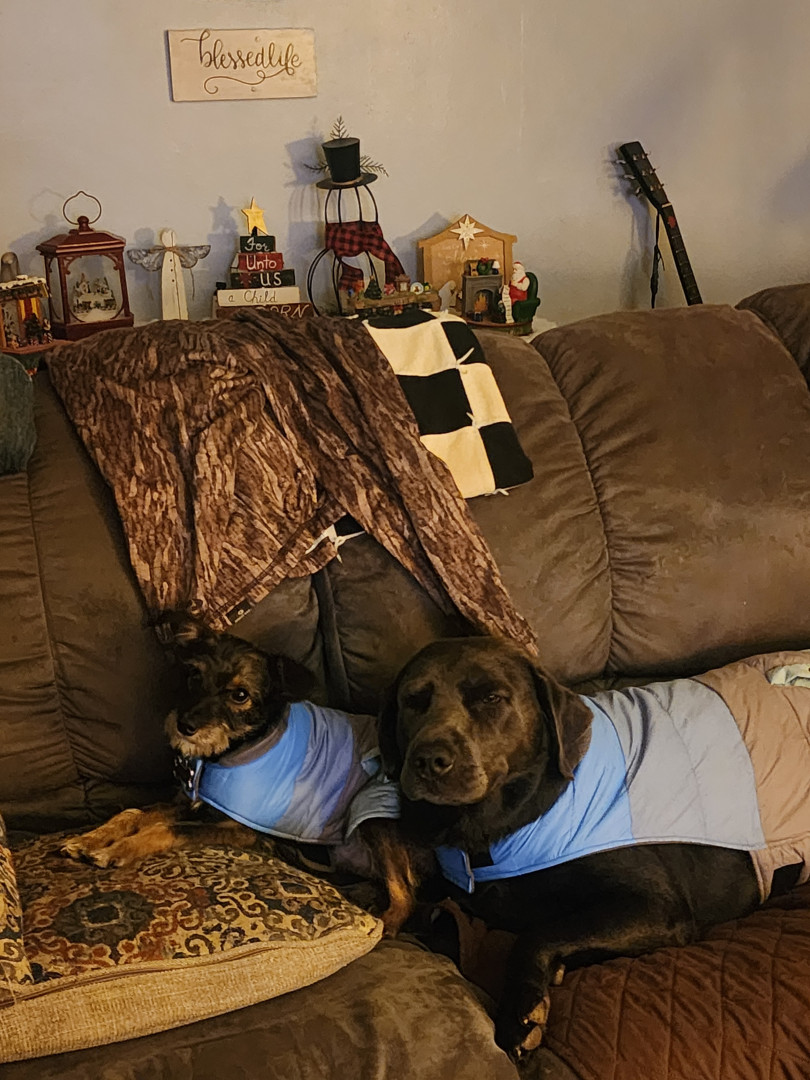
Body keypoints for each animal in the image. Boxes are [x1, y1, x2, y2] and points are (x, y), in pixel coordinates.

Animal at [62, 612, 423, 937]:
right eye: (194, 675)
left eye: (240, 695)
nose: (184, 726)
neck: (230, 751)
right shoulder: (196, 804)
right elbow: (133, 813)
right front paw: (88, 839)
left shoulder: (241, 829)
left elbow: (167, 828)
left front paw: (116, 851)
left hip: (373, 812)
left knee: (408, 891)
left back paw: (386, 924)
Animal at [378, 635, 810, 1060]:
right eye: (413, 700)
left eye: (491, 698)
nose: (429, 760)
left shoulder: (657, 907)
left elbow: (537, 933)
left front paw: (521, 1010)